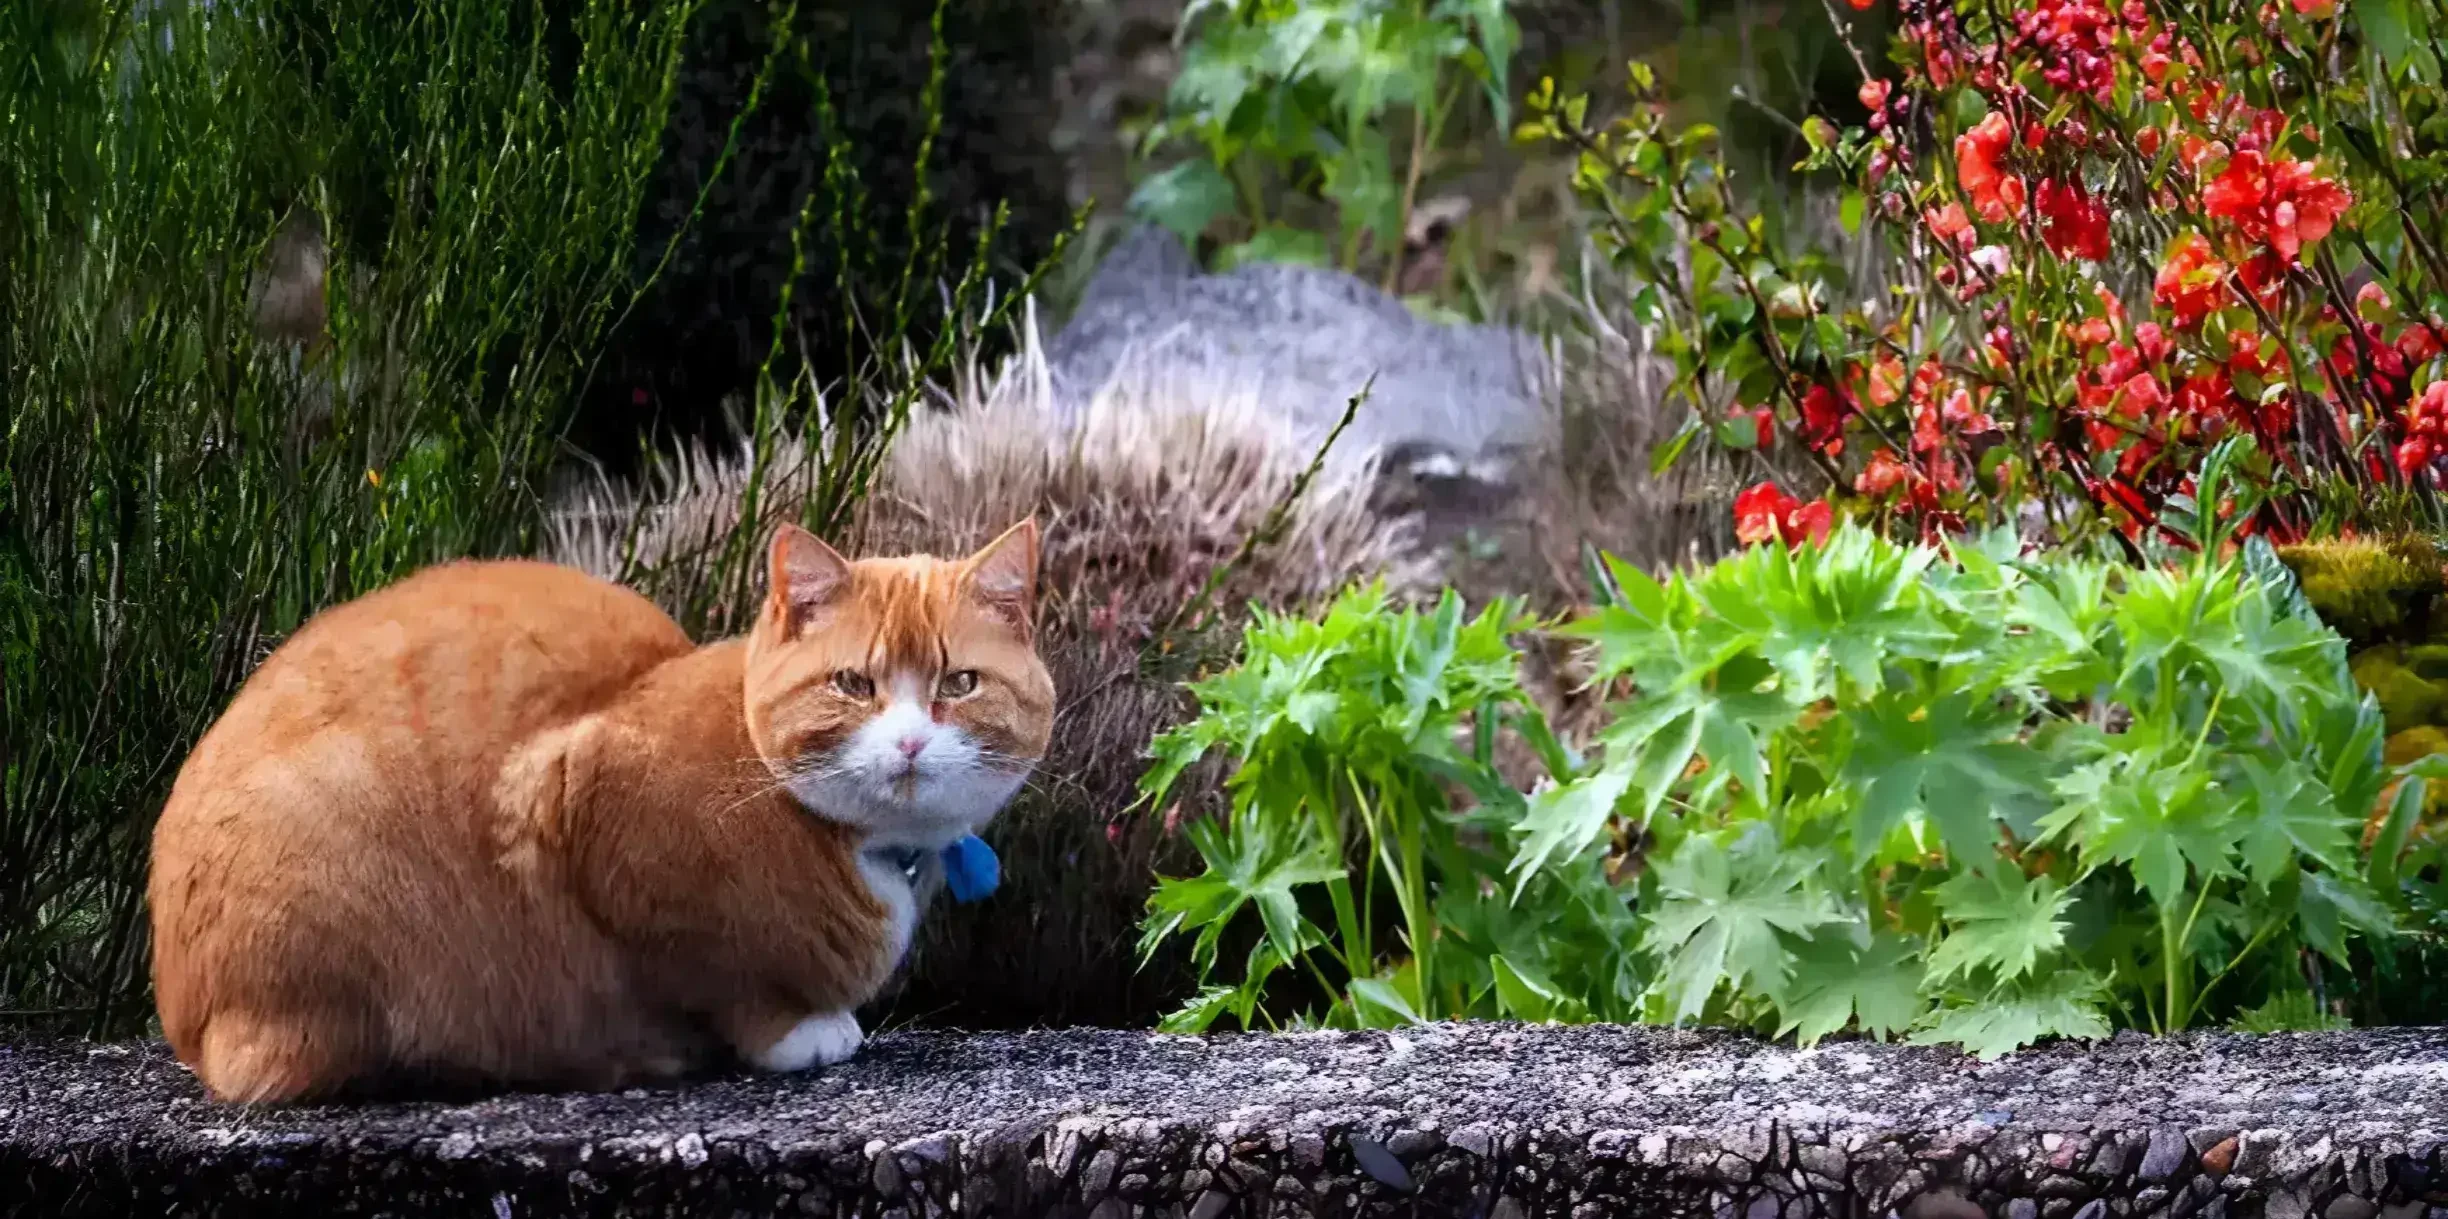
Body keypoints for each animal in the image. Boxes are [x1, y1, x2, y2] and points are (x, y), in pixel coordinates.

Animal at [138, 516, 1047, 1106]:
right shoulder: (575, 802)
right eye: (853, 684)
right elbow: (724, 977)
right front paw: (799, 1031)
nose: (910, 744)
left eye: (960, 683)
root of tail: (183, 1015)